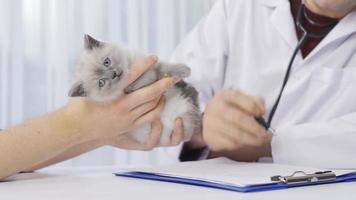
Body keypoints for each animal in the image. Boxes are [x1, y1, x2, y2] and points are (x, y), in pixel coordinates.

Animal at [68, 34, 202, 145]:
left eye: (106, 62)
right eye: (101, 82)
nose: (114, 74)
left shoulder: (150, 64)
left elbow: (161, 68)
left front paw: (183, 70)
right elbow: (145, 79)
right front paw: (133, 84)